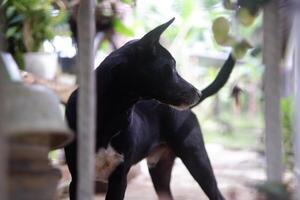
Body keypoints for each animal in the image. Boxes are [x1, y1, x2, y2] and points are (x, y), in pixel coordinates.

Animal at [64, 18, 236, 199]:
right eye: (172, 67)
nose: (198, 92)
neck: (109, 115)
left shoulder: (119, 180)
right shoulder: (77, 180)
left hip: (197, 161)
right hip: (160, 171)